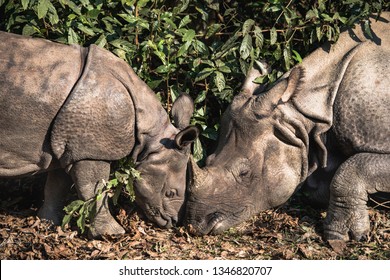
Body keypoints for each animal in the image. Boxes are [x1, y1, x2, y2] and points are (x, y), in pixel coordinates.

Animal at [0, 32, 198, 238]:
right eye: (170, 193)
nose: (173, 222)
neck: (151, 136)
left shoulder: (71, 145)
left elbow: (57, 185)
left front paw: (48, 222)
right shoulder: (91, 151)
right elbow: (95, 189)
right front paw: (112, 234)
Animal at [187, 13, 390, 241]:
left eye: (244, 173)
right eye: (208, 160)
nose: (196, 224)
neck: (302, 117)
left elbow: (355, 165)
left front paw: (340, 236)